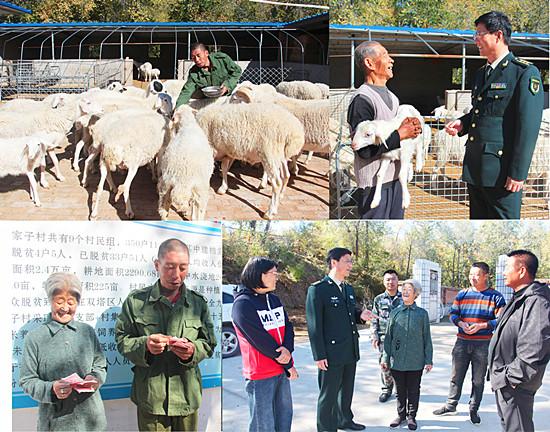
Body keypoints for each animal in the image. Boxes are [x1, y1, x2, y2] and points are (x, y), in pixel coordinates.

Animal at [89, 91, 174, 219]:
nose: (172, 112)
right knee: (125, 187)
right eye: (166, 100)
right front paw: (156, 178)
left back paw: (95, 211)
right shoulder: (160, 149)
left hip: (103, 160)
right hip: (132, 165)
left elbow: (152, 163)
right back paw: (129, 210)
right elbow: (157, 166)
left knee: (100, 186)